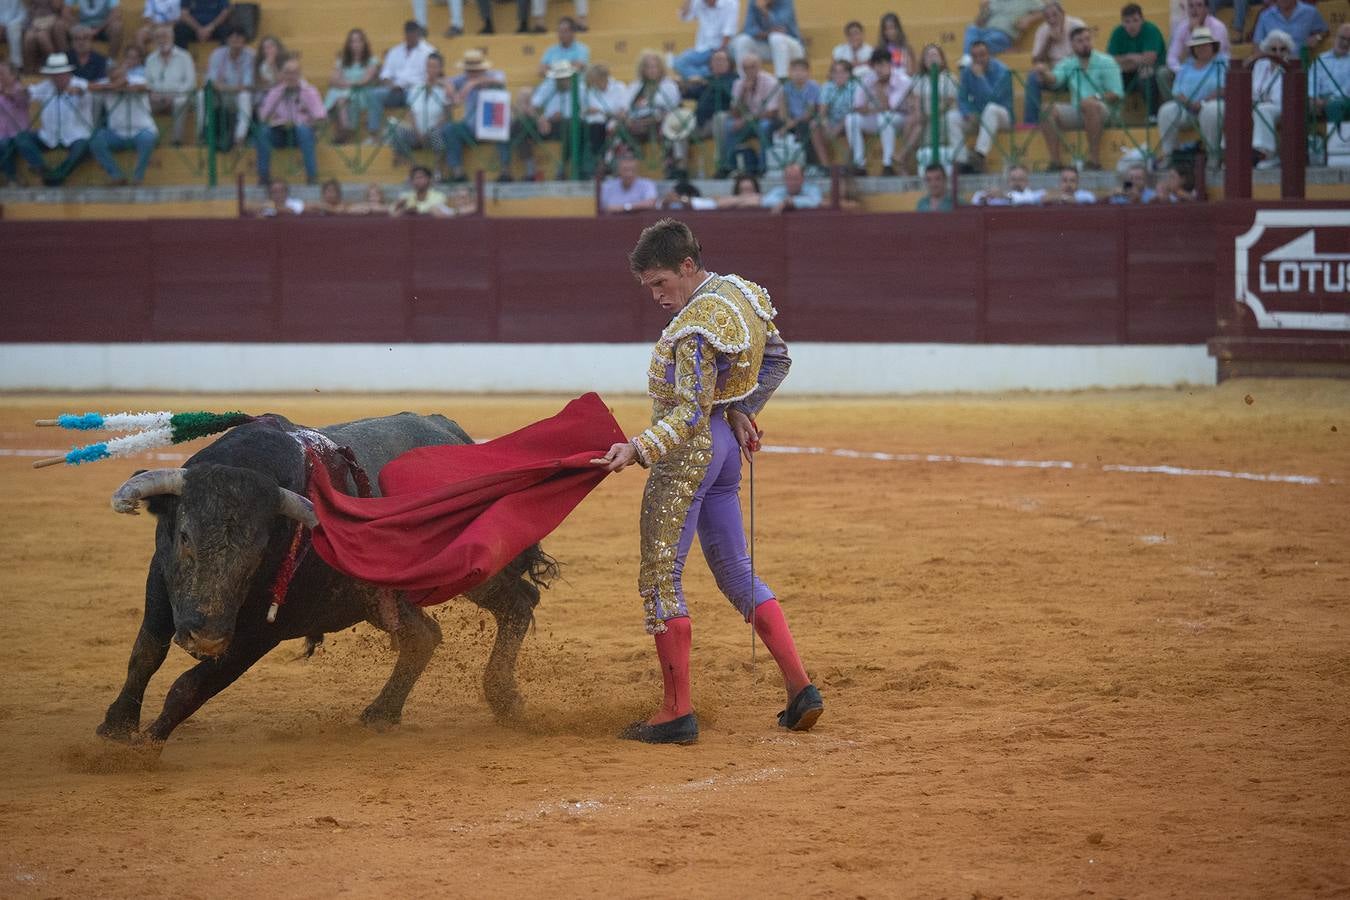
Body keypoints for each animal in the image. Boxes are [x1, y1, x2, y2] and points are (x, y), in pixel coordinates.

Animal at [96, 412, 553, 744]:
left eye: (259, 551)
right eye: (185, 537)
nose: (206, 637)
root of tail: (455, 433)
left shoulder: (259, 636)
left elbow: (191, 685)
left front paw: (144, 746)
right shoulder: (160, 589)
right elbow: (145, 655)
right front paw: (116, 727)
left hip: (474, 573)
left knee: (518, 603)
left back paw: (502, 698)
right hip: (382, 599)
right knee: (426, 635)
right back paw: (384, 713)